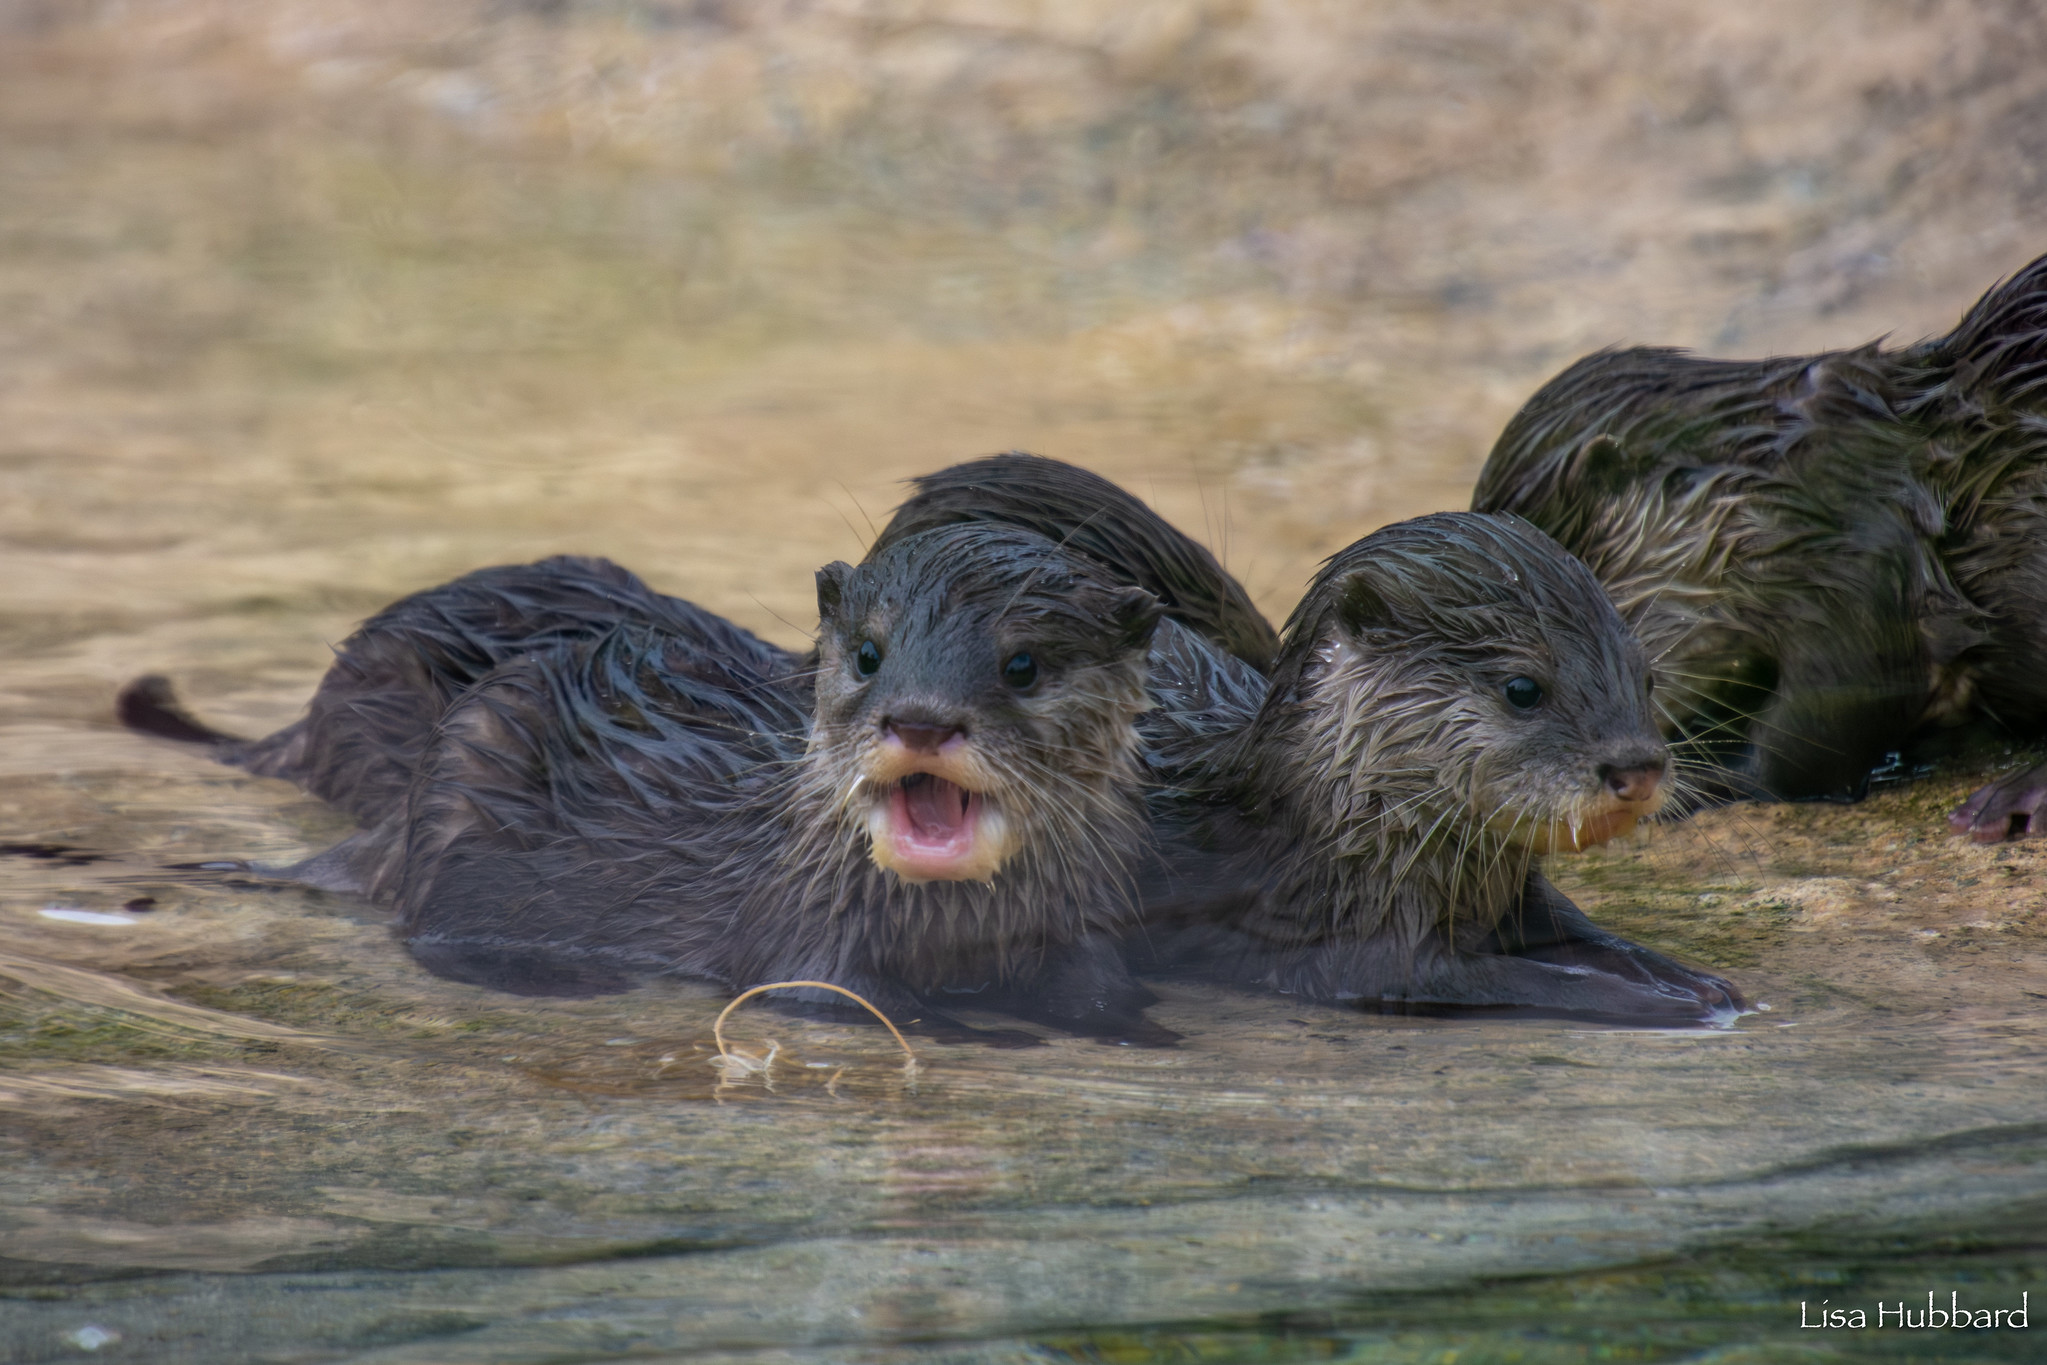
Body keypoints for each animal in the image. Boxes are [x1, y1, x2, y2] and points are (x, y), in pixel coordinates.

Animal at [122, 527, 1175, 1044]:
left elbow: (1099, 986)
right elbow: (834, 994)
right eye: (868, 653)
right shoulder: (803, 920)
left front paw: (1130, 1027)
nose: (919, 718)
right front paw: (973, 1028)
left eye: (1023, 665)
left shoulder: (1087, 911)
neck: (959, 928)